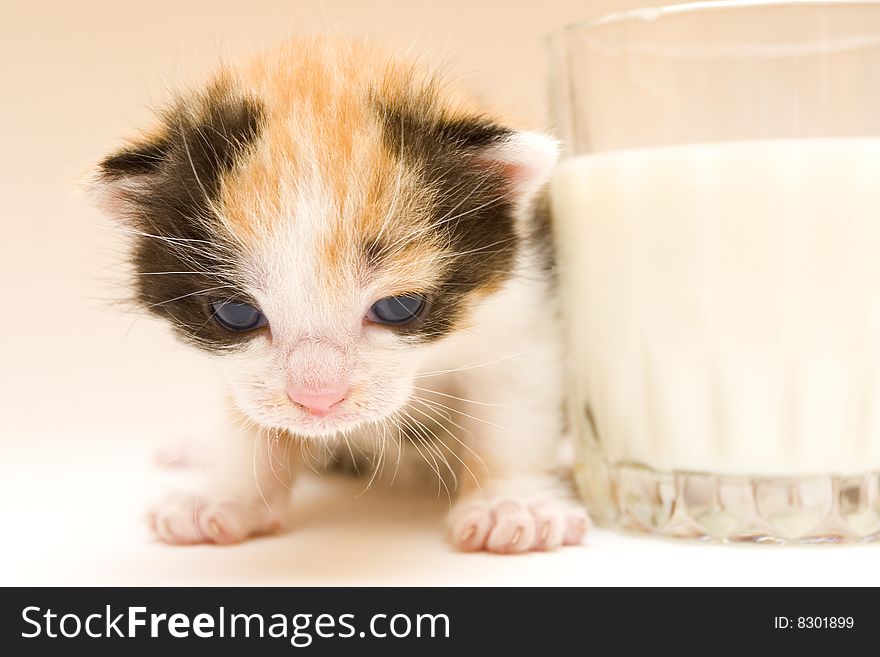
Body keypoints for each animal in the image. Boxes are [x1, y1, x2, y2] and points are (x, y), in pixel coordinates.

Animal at [89, 37, 588, 552]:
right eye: (235, 314)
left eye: (398, 307)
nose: (318, 399)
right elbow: (246, 420)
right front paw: (228, 498)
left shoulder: (523, 309)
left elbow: (515, 411)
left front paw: (512, 505)